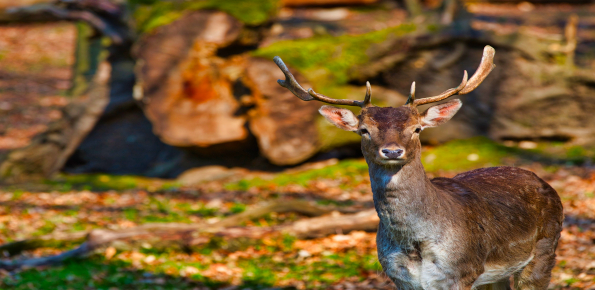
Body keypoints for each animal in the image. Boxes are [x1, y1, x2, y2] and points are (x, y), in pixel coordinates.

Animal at [274, 46, 564, 288]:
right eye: (364, 130)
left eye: (416, 129)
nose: (392, 150)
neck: (415, 246)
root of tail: (543, 181)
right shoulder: (399, 277)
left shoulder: (462, 273)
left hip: (545, 248)